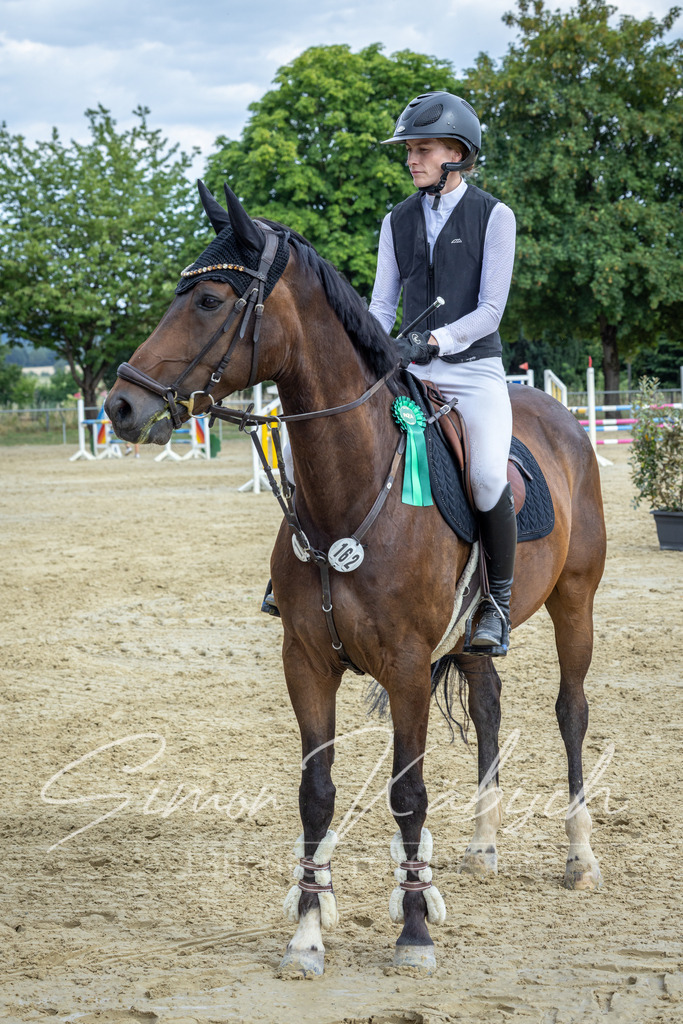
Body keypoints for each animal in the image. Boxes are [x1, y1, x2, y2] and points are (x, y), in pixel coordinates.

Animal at [105, 181, 606, 978]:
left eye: (210, 300)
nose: (123, 406)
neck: (352, 488)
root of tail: (559, 419)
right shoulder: (307, 660)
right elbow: (316, 791)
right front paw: (309, 931)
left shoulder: (404, 665)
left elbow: (407, 792)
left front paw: (413, 931)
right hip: (470, 639)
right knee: (490, 706)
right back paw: (481, 846)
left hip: (574, 603)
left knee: (570, 712)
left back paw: (578, 859)